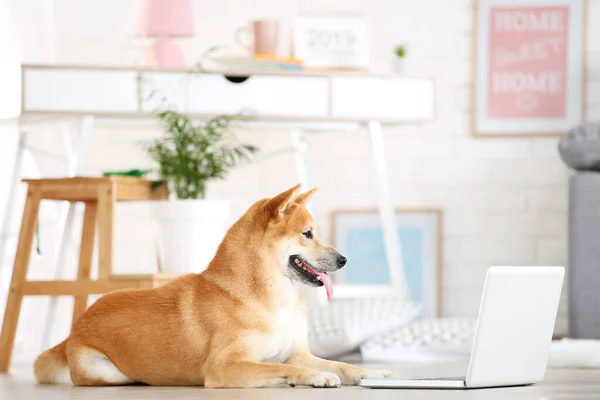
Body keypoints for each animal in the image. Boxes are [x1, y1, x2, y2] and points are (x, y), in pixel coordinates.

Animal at [35, 185, 396, 388]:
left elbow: (342, 364)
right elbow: (278, 367)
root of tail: (73, 328)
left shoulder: (299, 353)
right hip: (104, 369)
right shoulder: (226, 367)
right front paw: (314, 377)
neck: (269, 299)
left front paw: (372, 374)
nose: (344, 260)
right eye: (307, 234)